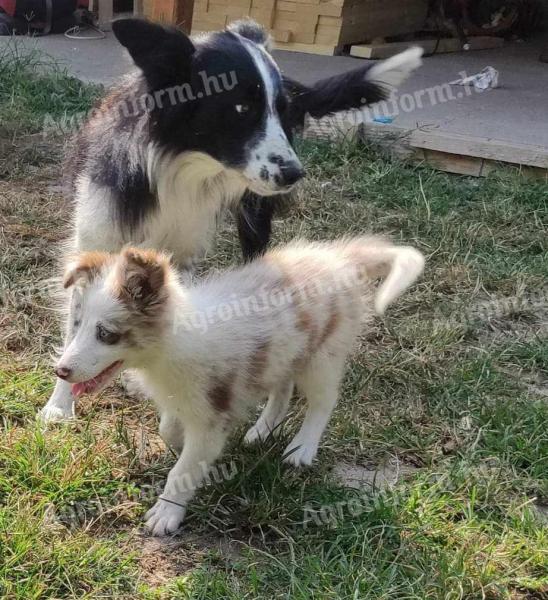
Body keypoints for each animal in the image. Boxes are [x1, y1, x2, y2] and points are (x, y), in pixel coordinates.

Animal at [40, 19, 422, 422]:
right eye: (240, 107)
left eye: (282, 111)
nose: (295, 174)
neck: (177, 166)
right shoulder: (95, 237)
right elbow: (77, 325)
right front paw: (59, 405)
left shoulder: (184, 254)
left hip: (256, 221)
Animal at [55, 236, 424, 536]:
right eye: (78, 324)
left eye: (106, 334)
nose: (60, 371)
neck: (171, 347)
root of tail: (341, 258)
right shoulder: (186, 399)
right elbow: (168, 430)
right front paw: (178, 444)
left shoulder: (211, 415)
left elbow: (183, 470)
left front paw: (167, 513)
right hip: (284, 353)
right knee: (282, 390)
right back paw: (262, 431)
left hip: (322, 356)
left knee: (323, 401)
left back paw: (302, 448)